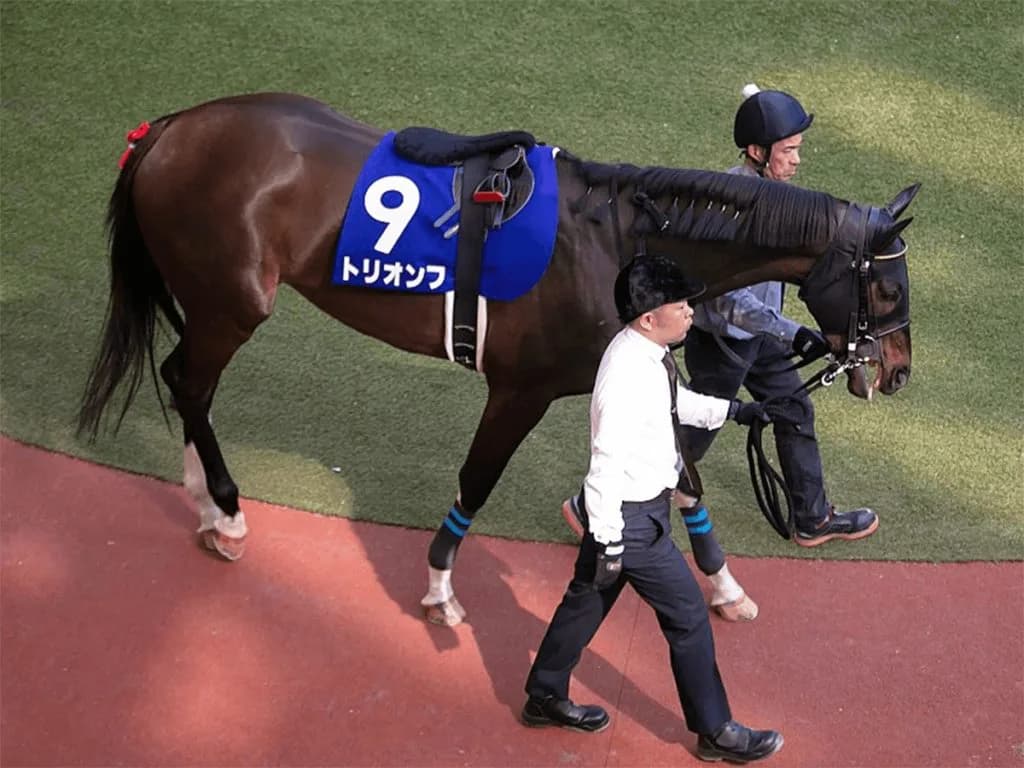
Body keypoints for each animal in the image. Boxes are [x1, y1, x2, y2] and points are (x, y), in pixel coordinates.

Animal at [77, 92, 918, 626]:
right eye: (886, 283)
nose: (898, 370)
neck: (617, 241)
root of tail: (169, 129)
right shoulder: (521, 389)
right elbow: (477, 481)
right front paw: (439, 587)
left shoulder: (633, 376)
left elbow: (686, 478)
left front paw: (726, 589)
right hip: (234, 303)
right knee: (187, 380)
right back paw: (224, 510)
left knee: (185, 382)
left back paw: (202, 500)